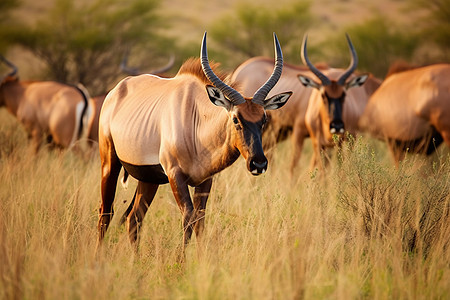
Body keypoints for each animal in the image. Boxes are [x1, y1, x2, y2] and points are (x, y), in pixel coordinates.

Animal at [96, 31, 292, 254]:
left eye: (264, 119)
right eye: (236, 118)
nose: (258, 163)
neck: (196, 117)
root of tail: (116, 91)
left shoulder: (206, 180)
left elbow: (199, 219)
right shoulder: (175, 175)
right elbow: (188, 217)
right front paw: (181, 260)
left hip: (148, 179)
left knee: (134, 218)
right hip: (109, 164)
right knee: (106, 212)